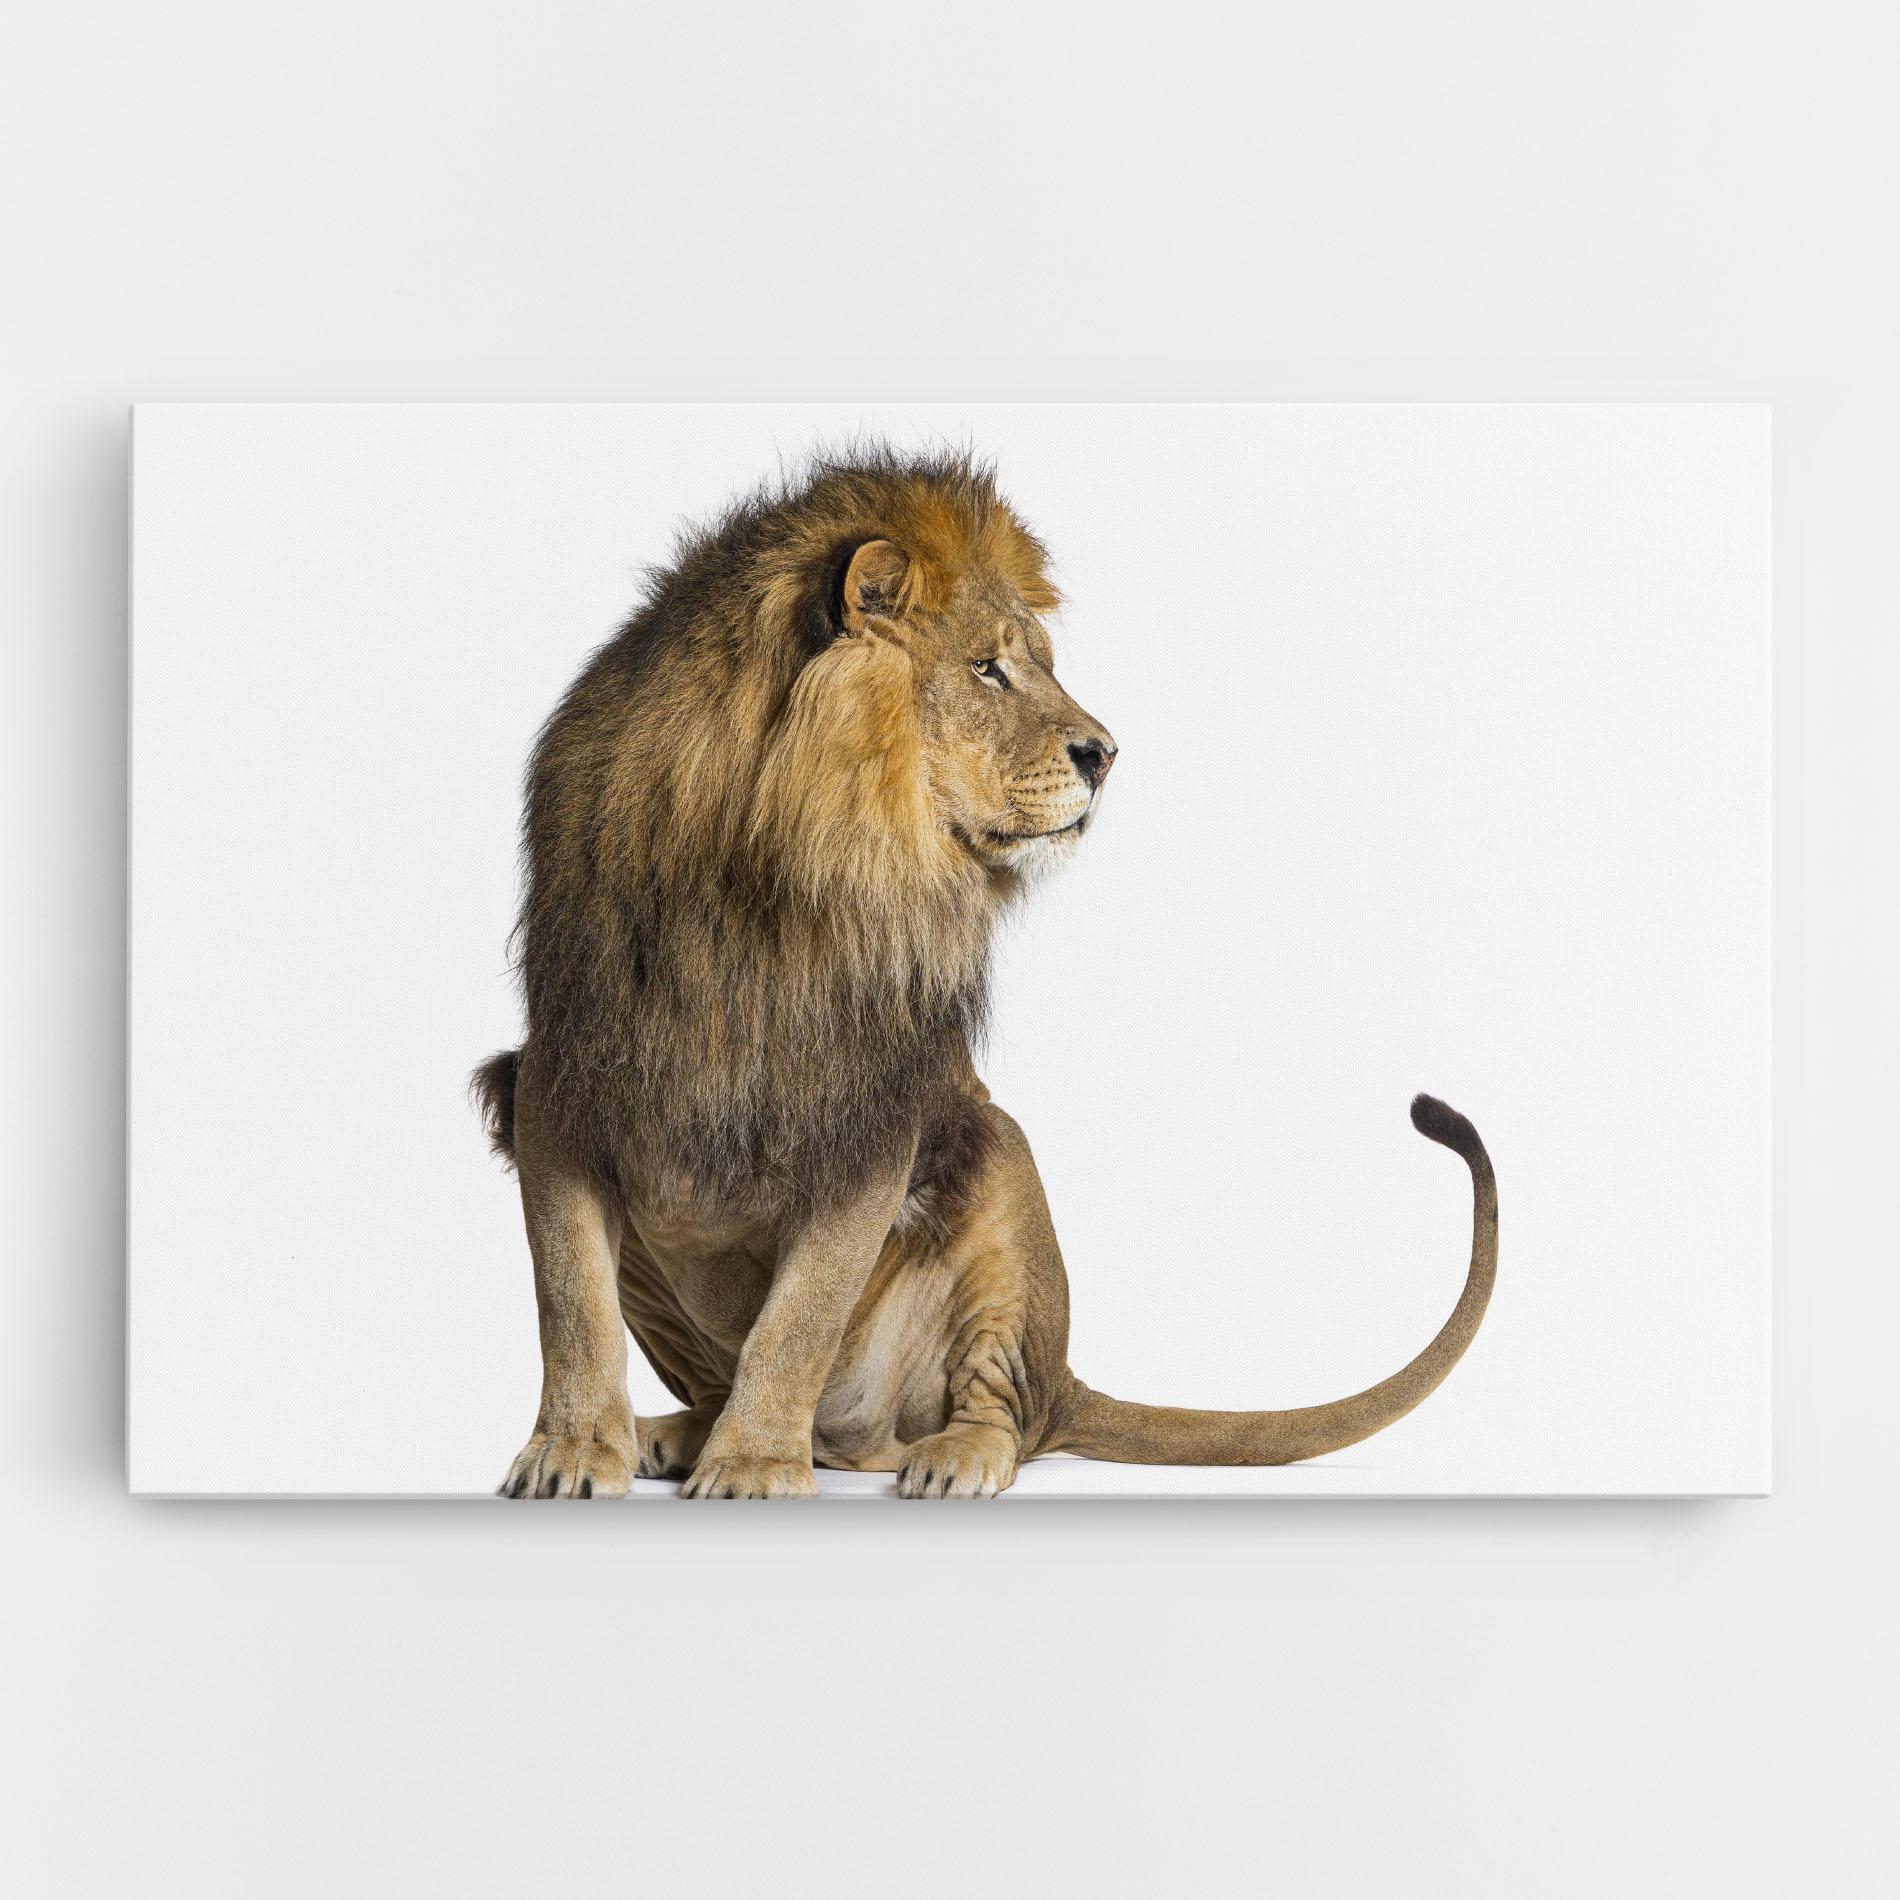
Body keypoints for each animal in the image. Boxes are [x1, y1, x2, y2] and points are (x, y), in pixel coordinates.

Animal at [475, 448, 1498, 1499]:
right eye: (987, 668)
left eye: (1036, 664)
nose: (1107, 754)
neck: (765, 879)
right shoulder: (558, 1076)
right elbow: (571, 1299)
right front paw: (574, 1449)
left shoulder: (874, 1111)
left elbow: (797, 1319)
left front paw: (754, 1463)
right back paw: (679, 1433)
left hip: (997, 1166)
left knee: (1000, 1408)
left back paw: (943, 1454)